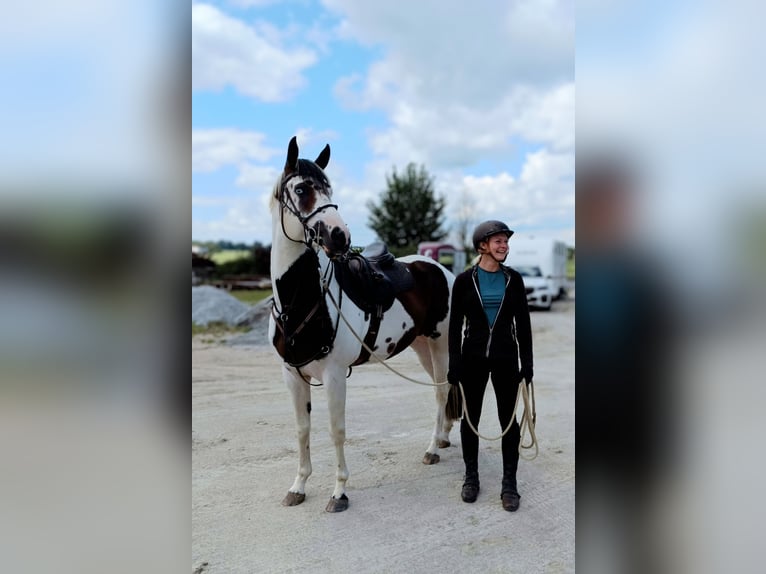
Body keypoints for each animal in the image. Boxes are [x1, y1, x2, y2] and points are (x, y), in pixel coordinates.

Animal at [268, 136, 460, 512]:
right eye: (301, 189)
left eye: (328, 188)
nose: (339, 236)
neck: (301, 303)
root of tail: (439, 269)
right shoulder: (292, 375)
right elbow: (302, 429)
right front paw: (298, 486)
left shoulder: (334, 375)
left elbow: (336, 430)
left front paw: (339, 492)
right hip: (422, 347)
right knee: (441, 390)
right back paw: (443, 438)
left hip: (440, 343)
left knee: (442, 390)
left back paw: (432, 448)